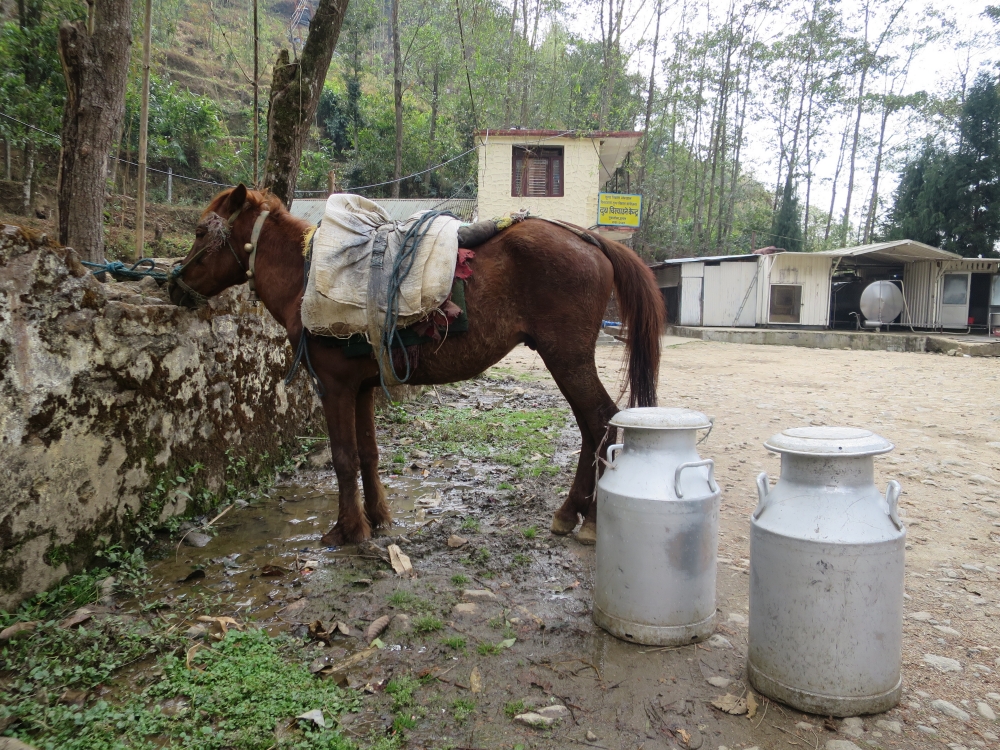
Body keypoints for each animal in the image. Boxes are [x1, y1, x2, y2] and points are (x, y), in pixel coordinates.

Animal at [167, 184, 664, 545]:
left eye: (200, 232)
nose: (173, 285)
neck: (306, 278)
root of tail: (588, 238)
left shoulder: (334, 386)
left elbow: (343, 458)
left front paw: (347, 531)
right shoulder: (362, 387)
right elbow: (367, 454)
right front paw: (378, 519)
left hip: (567, 357)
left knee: (600, 420)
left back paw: (588, 519)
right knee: (591, 426)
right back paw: (571, 512)